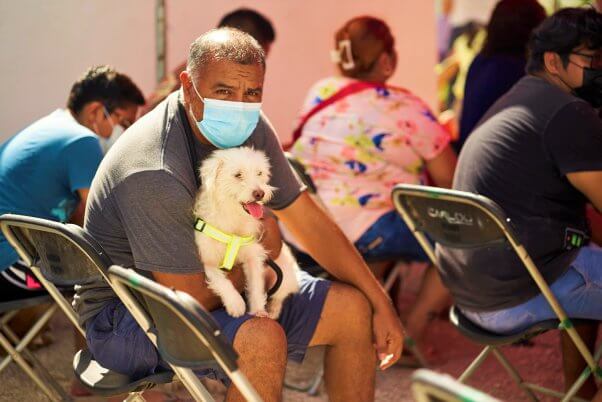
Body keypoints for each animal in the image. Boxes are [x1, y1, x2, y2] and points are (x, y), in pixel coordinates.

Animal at [193, 146, 298, 318]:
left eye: (259, 173)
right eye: (238, 175)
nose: (260, 193)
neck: (233, 216)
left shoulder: (254, 255)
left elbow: (256, 286)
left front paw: (258, 310)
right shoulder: (207, 260)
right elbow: (219, 279)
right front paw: (235, 303)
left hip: (285, 273)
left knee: (281, 294)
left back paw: (273, 309)